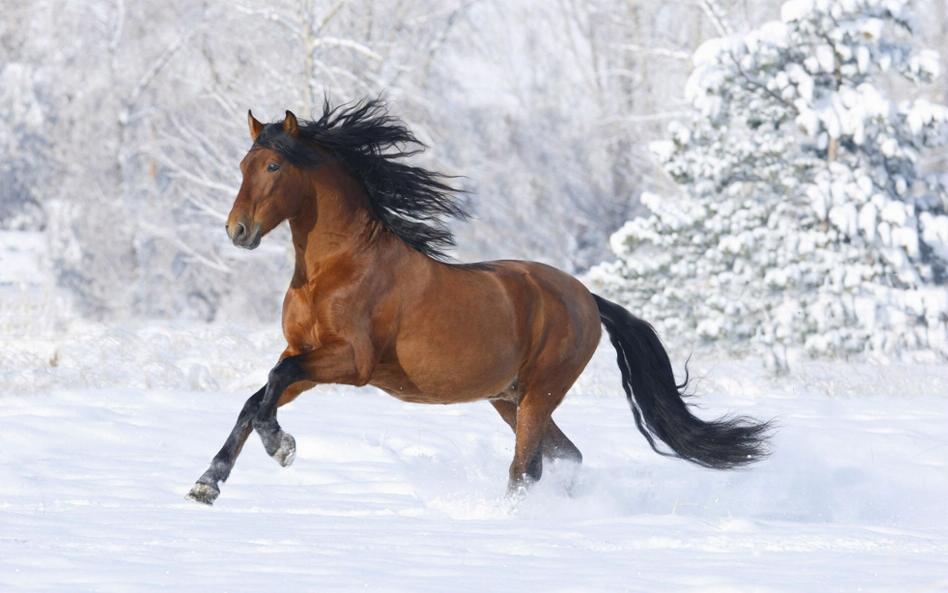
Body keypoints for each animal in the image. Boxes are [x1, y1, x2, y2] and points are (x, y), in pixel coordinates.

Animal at [187, 98, 772, 504]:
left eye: (273, 168)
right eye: (242, 165)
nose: (237, 231)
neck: (336, 269)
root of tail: (585, 296)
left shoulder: (350, 362)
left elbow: (271, 385)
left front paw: (281, 447)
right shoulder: (304, 355)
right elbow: (256, 398)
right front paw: (207, 483)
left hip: (539, 393)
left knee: (526, 467)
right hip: (508, 398)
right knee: (565, 455)